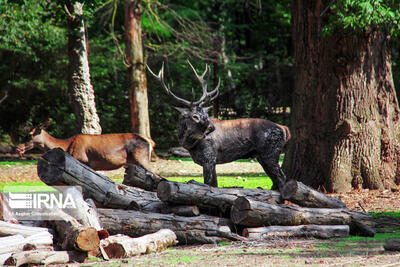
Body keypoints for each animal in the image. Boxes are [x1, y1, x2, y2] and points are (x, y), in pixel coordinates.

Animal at [15, 120, 154, 172]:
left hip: (142, 158)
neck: (66, 146)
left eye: (29, 135)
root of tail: (150, 142)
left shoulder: (81, 158)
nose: (18, 148)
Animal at [148, 61, 290, 192]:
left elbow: (209, 184)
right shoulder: (211, 161)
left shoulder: (209, 157)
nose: (212, 127)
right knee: (276, 180)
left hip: (271, 152)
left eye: (206, 114)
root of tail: (284, 129)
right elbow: (214, 185)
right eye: (195, 116)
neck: (190, 145)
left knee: (282, 178)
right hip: (262, 155)